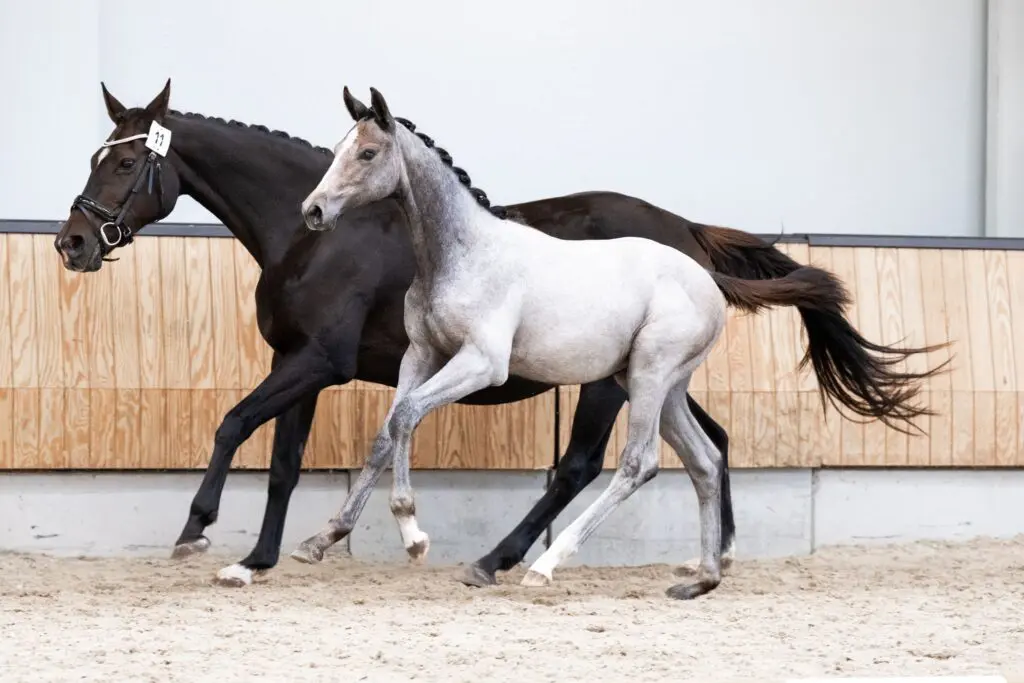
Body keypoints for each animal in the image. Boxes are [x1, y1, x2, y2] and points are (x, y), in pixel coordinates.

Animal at [54, 80, 945, 590]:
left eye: (126, 164)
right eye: (96, 154)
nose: (72, 242)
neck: (314, 237)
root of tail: (685, 235)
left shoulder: (317, 362)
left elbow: (235, 423)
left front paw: (196, 532)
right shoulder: (301, 363)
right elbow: (286, 460)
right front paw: (264, 558)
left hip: (609, 383)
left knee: (587, 464)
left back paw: (510, 559)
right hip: (650, 378)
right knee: (710, 444)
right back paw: (710, 558)